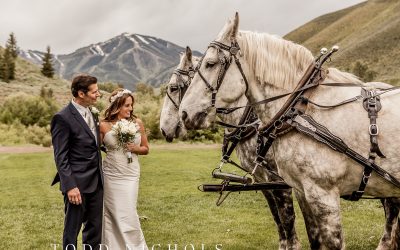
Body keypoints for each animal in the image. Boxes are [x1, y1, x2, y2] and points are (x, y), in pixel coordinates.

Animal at [159, 46, 300, 248]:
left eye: (173, 88)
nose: (163, 129)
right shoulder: (262, 180)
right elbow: (277, 217)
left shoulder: (279, 181)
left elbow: (288, 221)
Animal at [180, 13, 400, 250]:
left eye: (210, 64)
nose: (184, 113)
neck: (300, 107)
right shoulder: (301, 190)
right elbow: (311, 236)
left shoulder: (322, 194)